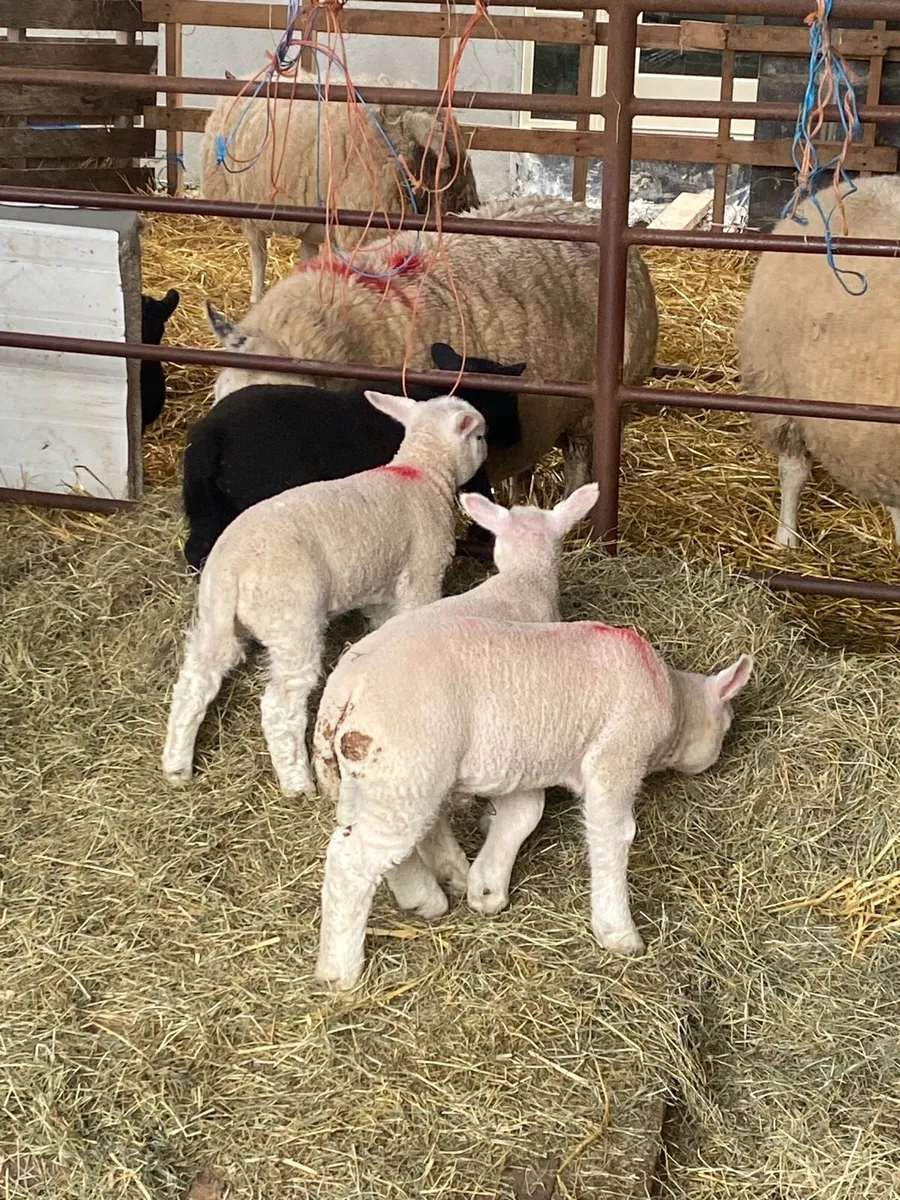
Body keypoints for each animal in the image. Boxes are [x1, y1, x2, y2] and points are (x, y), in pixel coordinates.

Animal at [162, 391, 487, 797]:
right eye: (480, 436)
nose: (486, 451)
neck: (421, 473)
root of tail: (233, 568)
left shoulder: (380, 589)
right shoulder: (421, 576)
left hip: (214, 618)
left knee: (195, 681)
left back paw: (177, 766)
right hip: (291, 622)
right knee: (280, 707)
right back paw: (297, 782)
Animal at [181, 341, 525, 570]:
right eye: (509, 395)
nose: (518, 435)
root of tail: (208, 436)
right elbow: (480, 488)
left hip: (208, 503)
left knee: (199, 547)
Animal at [200, 69, 480, 303]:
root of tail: (415, 119)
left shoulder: (249, 209)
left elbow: (259, 256)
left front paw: (256, 298)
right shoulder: (310, 220)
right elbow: (306, 254)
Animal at [313, 619, 752, 990]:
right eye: (728, 724)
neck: (674, 703)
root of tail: (344, 687)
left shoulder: (523, 766)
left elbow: (522, 815)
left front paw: (487, 887)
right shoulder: (618, 755)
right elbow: (613, 836)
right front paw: (618, 932)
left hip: (373, 778)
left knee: (366, 840)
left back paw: (424, 896)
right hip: (407, 767)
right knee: (353, 864)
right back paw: (339, 970)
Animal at [314, 482, 600, 911]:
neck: (523, 581)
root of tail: (347, 688)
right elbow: (524, 812)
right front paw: (488, 884)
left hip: (362, 774)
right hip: (408, 773)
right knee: (357, 862)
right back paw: (425, 895)